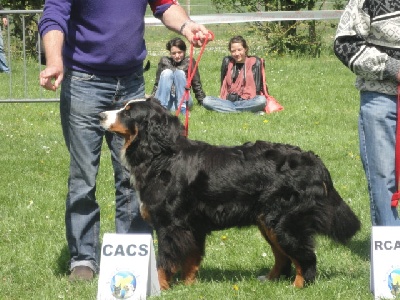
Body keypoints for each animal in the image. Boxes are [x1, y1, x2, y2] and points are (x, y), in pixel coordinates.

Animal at [98, 98, 360, 290]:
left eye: (128, 112)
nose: (101, 114)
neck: (160, 156)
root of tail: (313, 160)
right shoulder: (192, 225)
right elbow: (191, 258)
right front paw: (189, 285)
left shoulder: (170, 225)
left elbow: (164, 261)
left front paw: (160, 289)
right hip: (268, 221)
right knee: (283, 256)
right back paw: (270, 280)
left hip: (285, 221)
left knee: (305, 257)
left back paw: (298, 287)